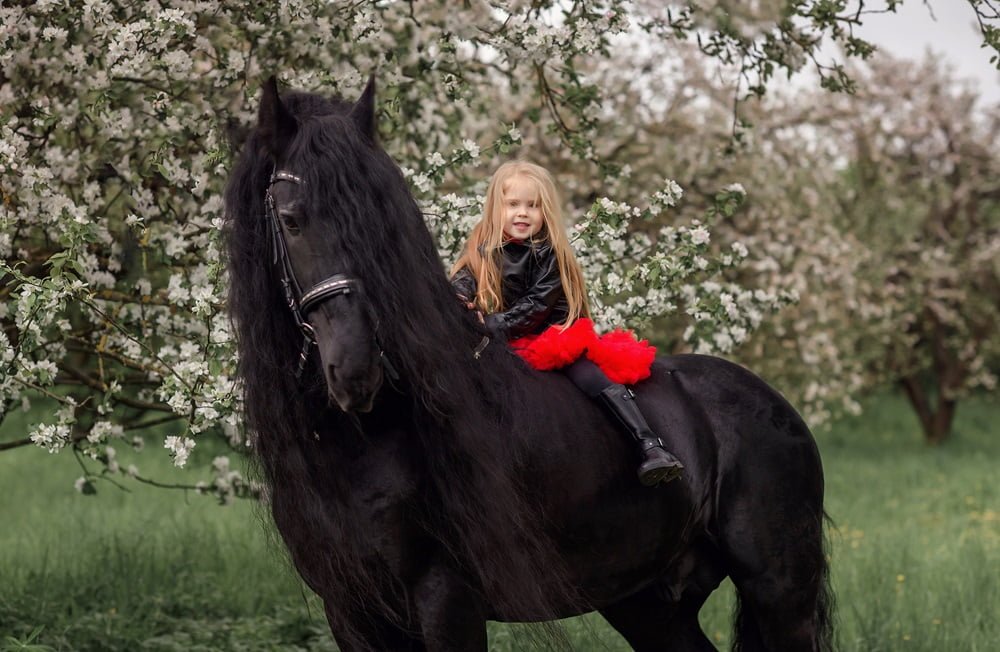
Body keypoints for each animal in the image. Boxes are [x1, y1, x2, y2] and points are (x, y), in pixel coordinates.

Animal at [224, 76, 834, 652]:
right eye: (292, 220)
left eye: (379, 225)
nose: (356, 372)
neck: (364, 443)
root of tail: (773, 403)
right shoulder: (350, 609)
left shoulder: (448, 601)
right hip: (649, 603)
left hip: (780, 591)